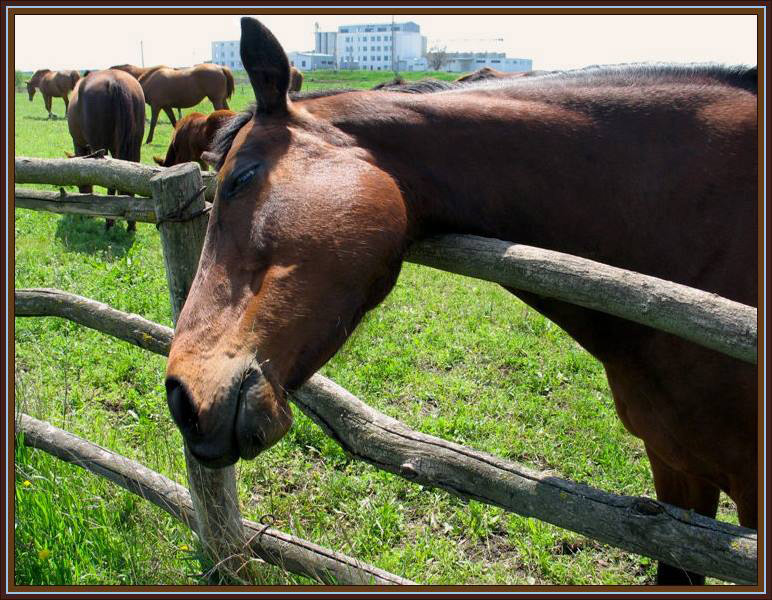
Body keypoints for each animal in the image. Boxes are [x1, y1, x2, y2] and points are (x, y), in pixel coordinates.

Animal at [66, 69, 145, 231]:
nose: (86, 216)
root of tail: (115, 82)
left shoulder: (79, 144)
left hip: (100, 145)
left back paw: (109, 223)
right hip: (134, 145)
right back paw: (131, 225)